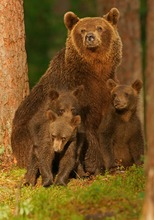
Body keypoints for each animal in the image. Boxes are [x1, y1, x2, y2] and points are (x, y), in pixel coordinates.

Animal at [10, 7, 122, 174]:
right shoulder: (74, 92)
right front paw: (96, 166)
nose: (90, 37)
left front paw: (113, 164)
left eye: (100, 28)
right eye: (82, 30)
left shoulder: (106, 90)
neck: (95, 72)